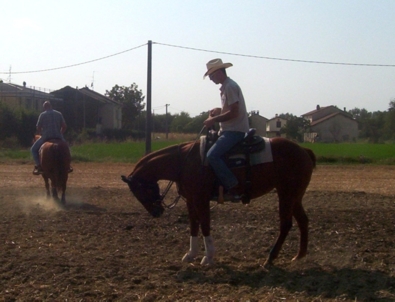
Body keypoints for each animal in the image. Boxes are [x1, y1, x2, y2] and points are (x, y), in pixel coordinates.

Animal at [122, 137, 318, 266]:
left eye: (139, 190)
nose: (157, 212)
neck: (184, 162)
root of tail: (303, 150)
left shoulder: (201, 200)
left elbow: (205, 225)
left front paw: (208, 257)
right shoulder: (190, 200)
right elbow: (193, 226)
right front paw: (190, 254)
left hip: (286, 194)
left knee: (286, 224)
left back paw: (270, 258)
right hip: (295, 196)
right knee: (303, 220)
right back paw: (299, 256)